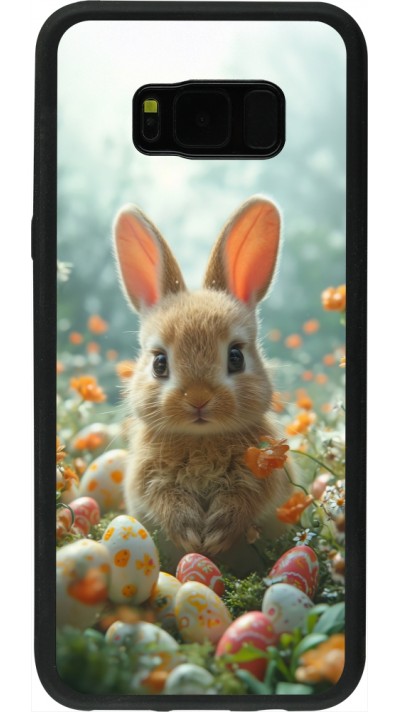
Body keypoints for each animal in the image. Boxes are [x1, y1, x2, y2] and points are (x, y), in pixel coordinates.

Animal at [113, 196, 293, 572]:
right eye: (159, 363)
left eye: (236, 357)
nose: (198, 399)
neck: (201, 438)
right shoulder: (148, 478)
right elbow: (165, 500)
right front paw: (192, 535)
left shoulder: (263, 475)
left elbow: (244, 500)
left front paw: (216, 535)